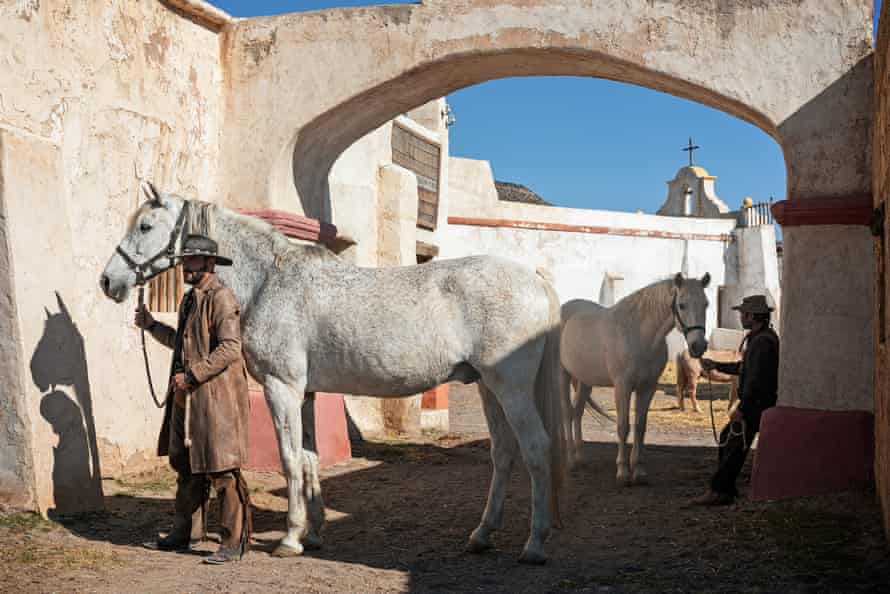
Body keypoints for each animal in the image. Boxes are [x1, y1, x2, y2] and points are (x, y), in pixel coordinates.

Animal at [99, 183, 568, 560]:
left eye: (145, 226)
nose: (108, 281)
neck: (270, 280)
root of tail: (535, 278)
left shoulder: (282, 388)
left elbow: (289, 460)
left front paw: (290, 539)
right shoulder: (305, 393)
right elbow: (310, 460)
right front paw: (315, 533)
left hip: (511, 389)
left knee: (536, 450)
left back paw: (535, 544)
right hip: (489, 388)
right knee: (503, 454)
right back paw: (481, 535)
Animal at [560, 276, 708, 484]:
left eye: (706, 304)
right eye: (682, 305)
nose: (698, 346)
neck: (640, 335)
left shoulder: (648, 387)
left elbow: (640, 427)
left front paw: (638, 470)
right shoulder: (623, 387)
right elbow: (623, 426)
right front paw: (622, 471)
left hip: (585, 381)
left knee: (577, 412)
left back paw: (581, 458)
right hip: (563, 375)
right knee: (567, 412)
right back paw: (571, 460)